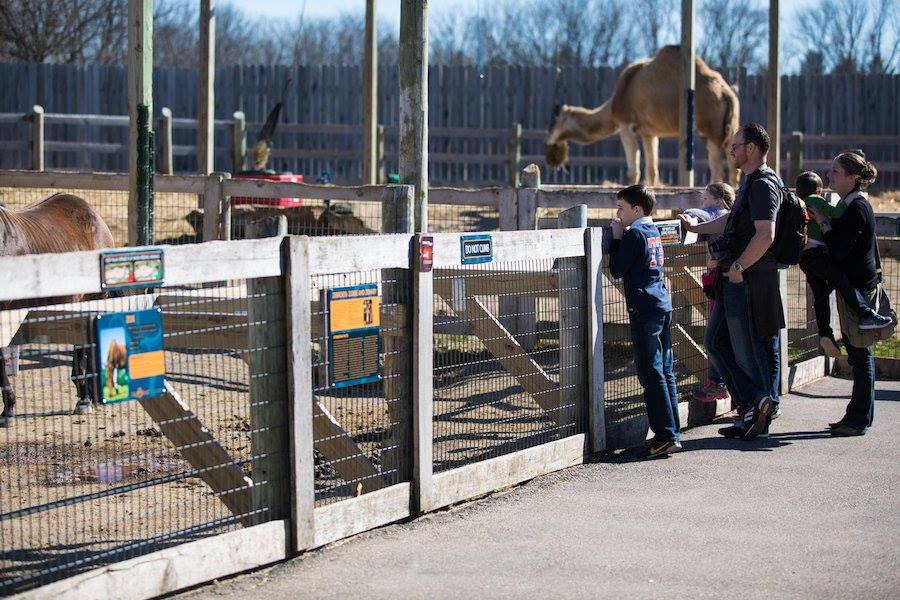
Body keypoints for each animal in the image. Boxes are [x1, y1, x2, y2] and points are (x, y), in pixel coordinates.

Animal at [544, 45, 740, 185]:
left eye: (553, 122)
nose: (549, 141)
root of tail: (725, 92)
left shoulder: (625, 124)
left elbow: (633, 171)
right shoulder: (649, 133)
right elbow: (652, 171)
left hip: (710, 129)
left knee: (717, 170)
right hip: (727, 129)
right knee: (733, 168)